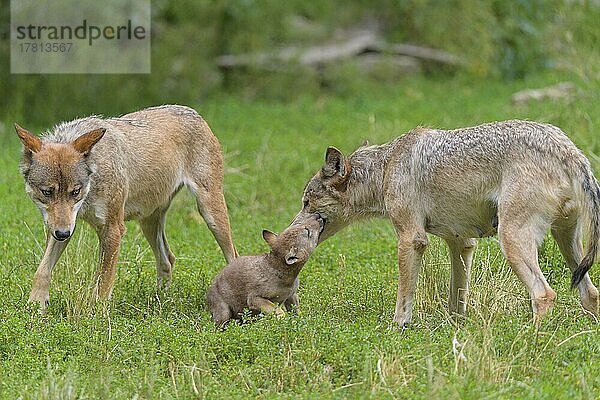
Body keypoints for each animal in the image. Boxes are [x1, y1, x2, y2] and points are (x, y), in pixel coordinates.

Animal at [15, 104, 238, 310]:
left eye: (75, 192)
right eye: (47, 192)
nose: (62, 234)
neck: (95, 175)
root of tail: (193, 112)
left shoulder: (113, 230)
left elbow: (103, 283)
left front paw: (95, 315)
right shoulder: (64, 226)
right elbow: (42, 270)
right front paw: (35, 306)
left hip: (211, 214)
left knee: (233, 256)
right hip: (148, 222)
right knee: (168, 259)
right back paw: (160, 301)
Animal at [296, 121, 600, 328]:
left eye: (306, 203)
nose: (293, 227)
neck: (385, 168)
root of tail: (570, 150)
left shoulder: (411, 239)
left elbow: (404, 297)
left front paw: (398, 327)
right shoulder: (461, 243)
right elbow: (457, 300)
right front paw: (455, 328)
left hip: (512, 241)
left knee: (544, 294)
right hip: (567, 243)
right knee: (591, 293)